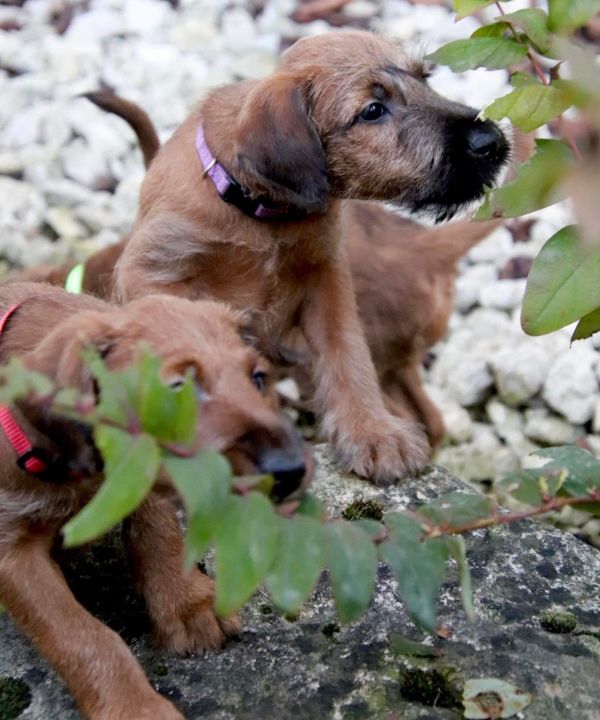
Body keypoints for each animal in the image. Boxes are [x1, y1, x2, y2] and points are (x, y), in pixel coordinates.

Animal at [0, 282, 310, 720]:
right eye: (177, 389)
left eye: (258, 378)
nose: (292, 470)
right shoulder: (12, 554)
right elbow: (79, 636)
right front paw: (133, 705)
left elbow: (158, 525)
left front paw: (185, 602)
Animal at [109, 32, 506, 484]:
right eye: (373, 110)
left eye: (425, 79)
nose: (491, 142)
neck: (259, 211)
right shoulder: (152, 269)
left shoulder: (326, 278)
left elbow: (346, 355)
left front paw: (373, 432)